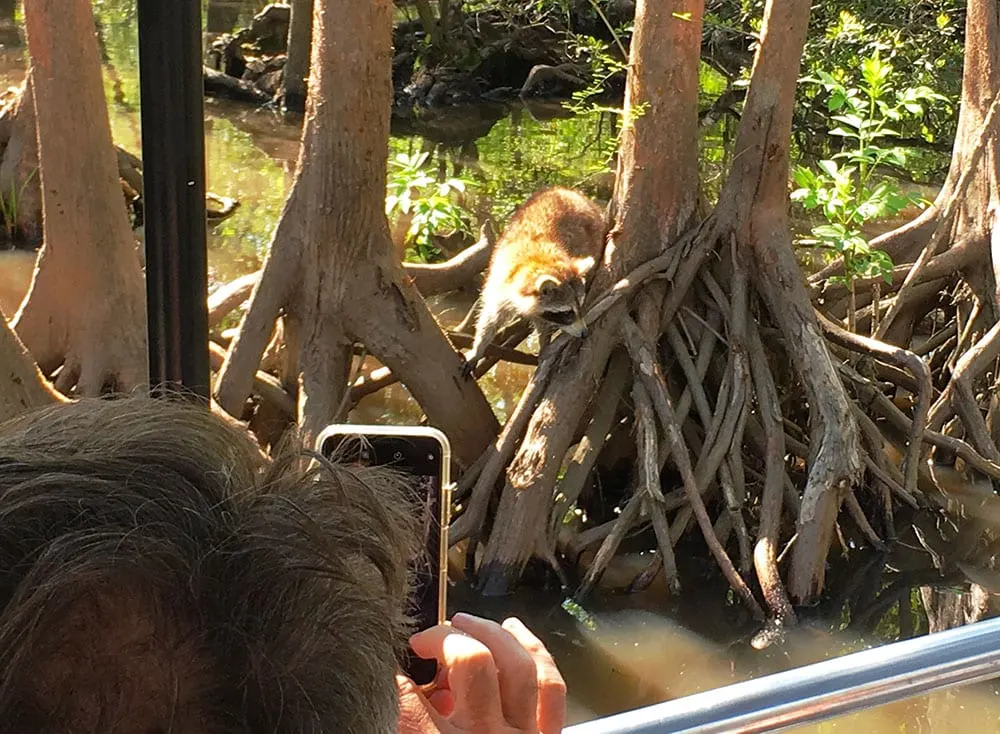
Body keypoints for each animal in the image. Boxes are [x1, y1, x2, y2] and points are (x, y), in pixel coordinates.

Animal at [458, 187, 600, 376]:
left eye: (580, 307)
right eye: (567, 313)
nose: (585, 333)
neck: (538, 261)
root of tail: (564, 190)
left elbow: (543, 324)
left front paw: (544, 345)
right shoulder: (499, 282)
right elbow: (490, 318)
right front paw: (478, 347)